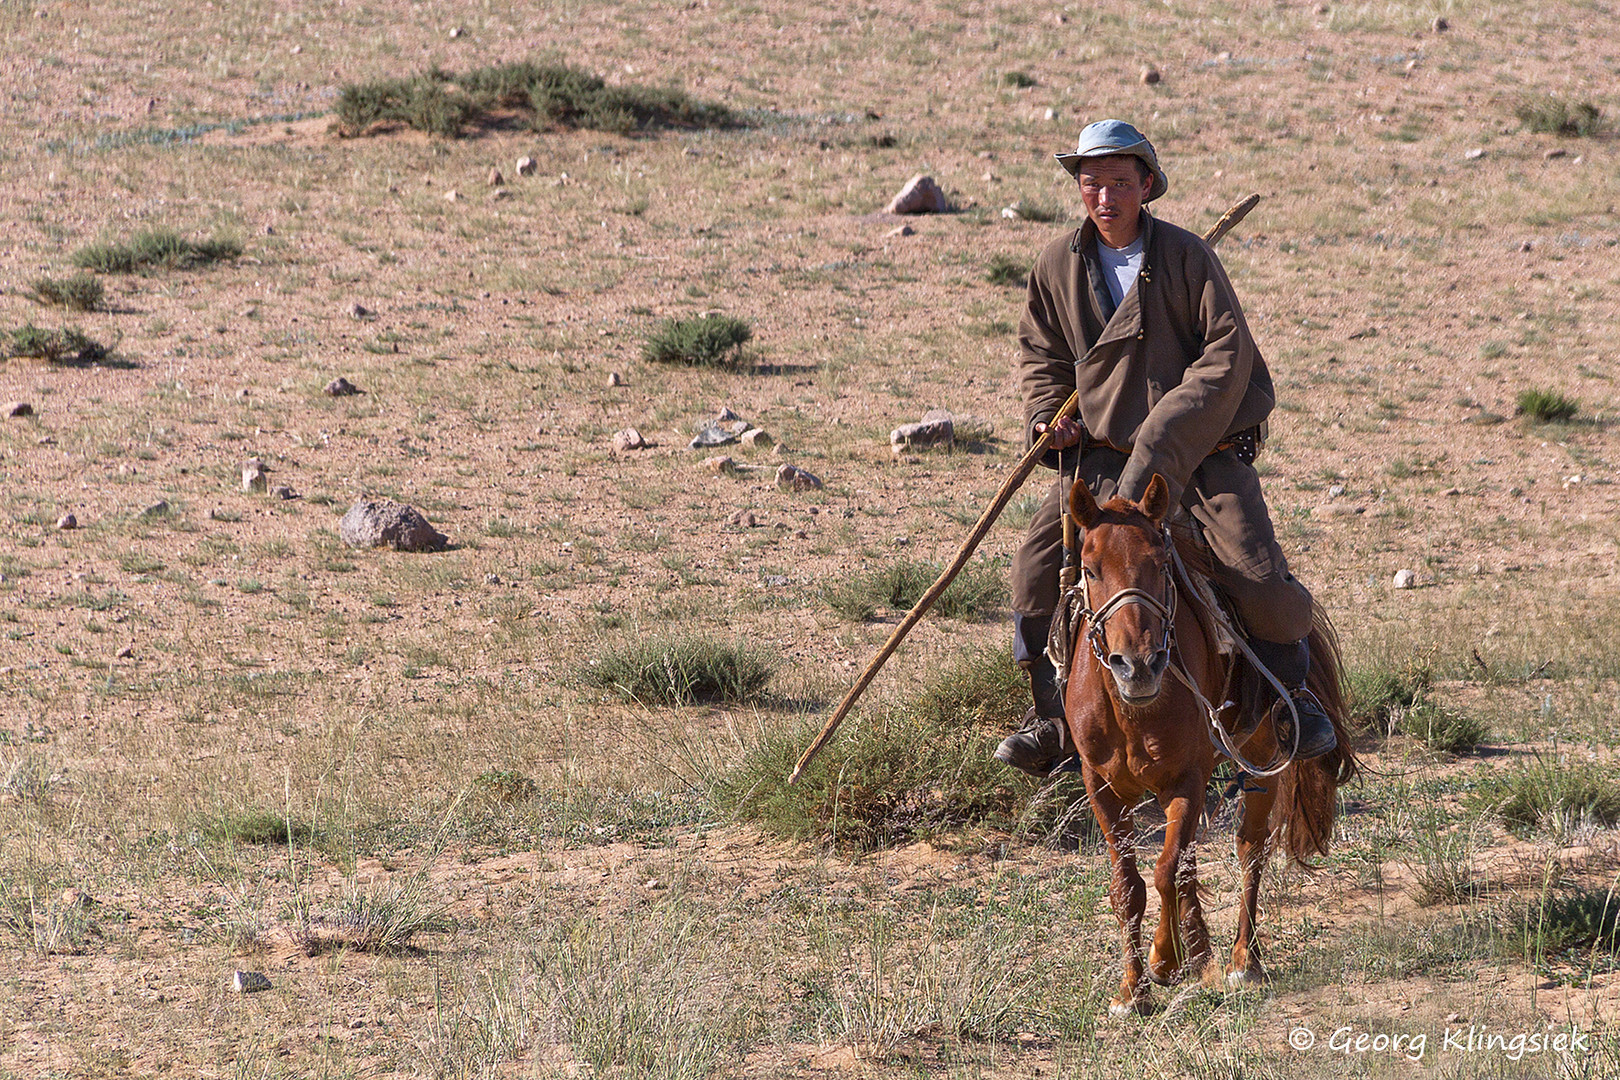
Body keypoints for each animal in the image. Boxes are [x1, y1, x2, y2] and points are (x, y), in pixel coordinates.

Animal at [1062, 472, 1354, 1016]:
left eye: (1160, 565)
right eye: (1089, 569)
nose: (1138, 665)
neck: (1134, 711)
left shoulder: (1187, 780)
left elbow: (1164, 870)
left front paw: (1164, 961)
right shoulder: (1102, 789)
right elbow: (1128, 887)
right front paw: (1132, 990)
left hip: (1261, 761)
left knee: (1249, 850)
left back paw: (1243, 961)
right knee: (1192, 863)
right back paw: (1199, 950)